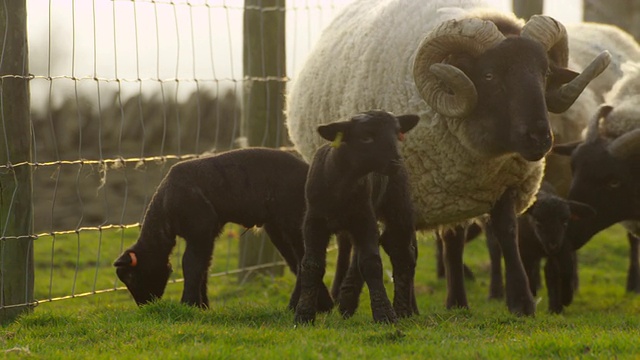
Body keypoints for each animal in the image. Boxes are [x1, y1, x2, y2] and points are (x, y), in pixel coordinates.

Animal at [114, 148, 336, 310]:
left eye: (132, 277)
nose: (144, 306)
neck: (165, 210)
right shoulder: (208, 233)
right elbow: (204, 266)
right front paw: (202, 306)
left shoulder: (200, 229)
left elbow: (191, 264)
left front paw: (189, 304)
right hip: (278, 228)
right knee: (296, 261)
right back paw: (322, 305)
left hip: (295, 220)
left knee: (304, 260)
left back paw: (299, 306)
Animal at [292, 109, 420, 324]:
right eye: (366, 137)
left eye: (397, 134)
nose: (395, 161)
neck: (342, 186)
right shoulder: (313, 222)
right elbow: (311, 265)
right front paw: (303, 314)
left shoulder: (365, 219)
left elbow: (372, 264)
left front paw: (385, 314)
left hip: (398, 205)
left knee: (402, 254)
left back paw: (402, 310)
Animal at [488, 181, 596, 314]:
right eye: (538, 221)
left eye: (565, 221)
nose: (553, 245)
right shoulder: (524, 251)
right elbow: (527, 271)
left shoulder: (563, 247)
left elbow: (566, 269)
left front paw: (566, 298)